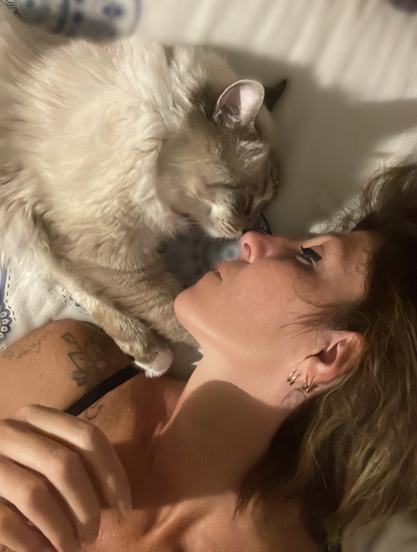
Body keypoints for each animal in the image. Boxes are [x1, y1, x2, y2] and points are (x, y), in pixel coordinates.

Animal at [0, 5, 281, 375]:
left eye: (262, 206)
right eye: (245, 200)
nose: (247, 229)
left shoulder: (47, 228)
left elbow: (82, 286)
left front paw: (146, 352)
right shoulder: (105, 247)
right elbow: (172, 309)